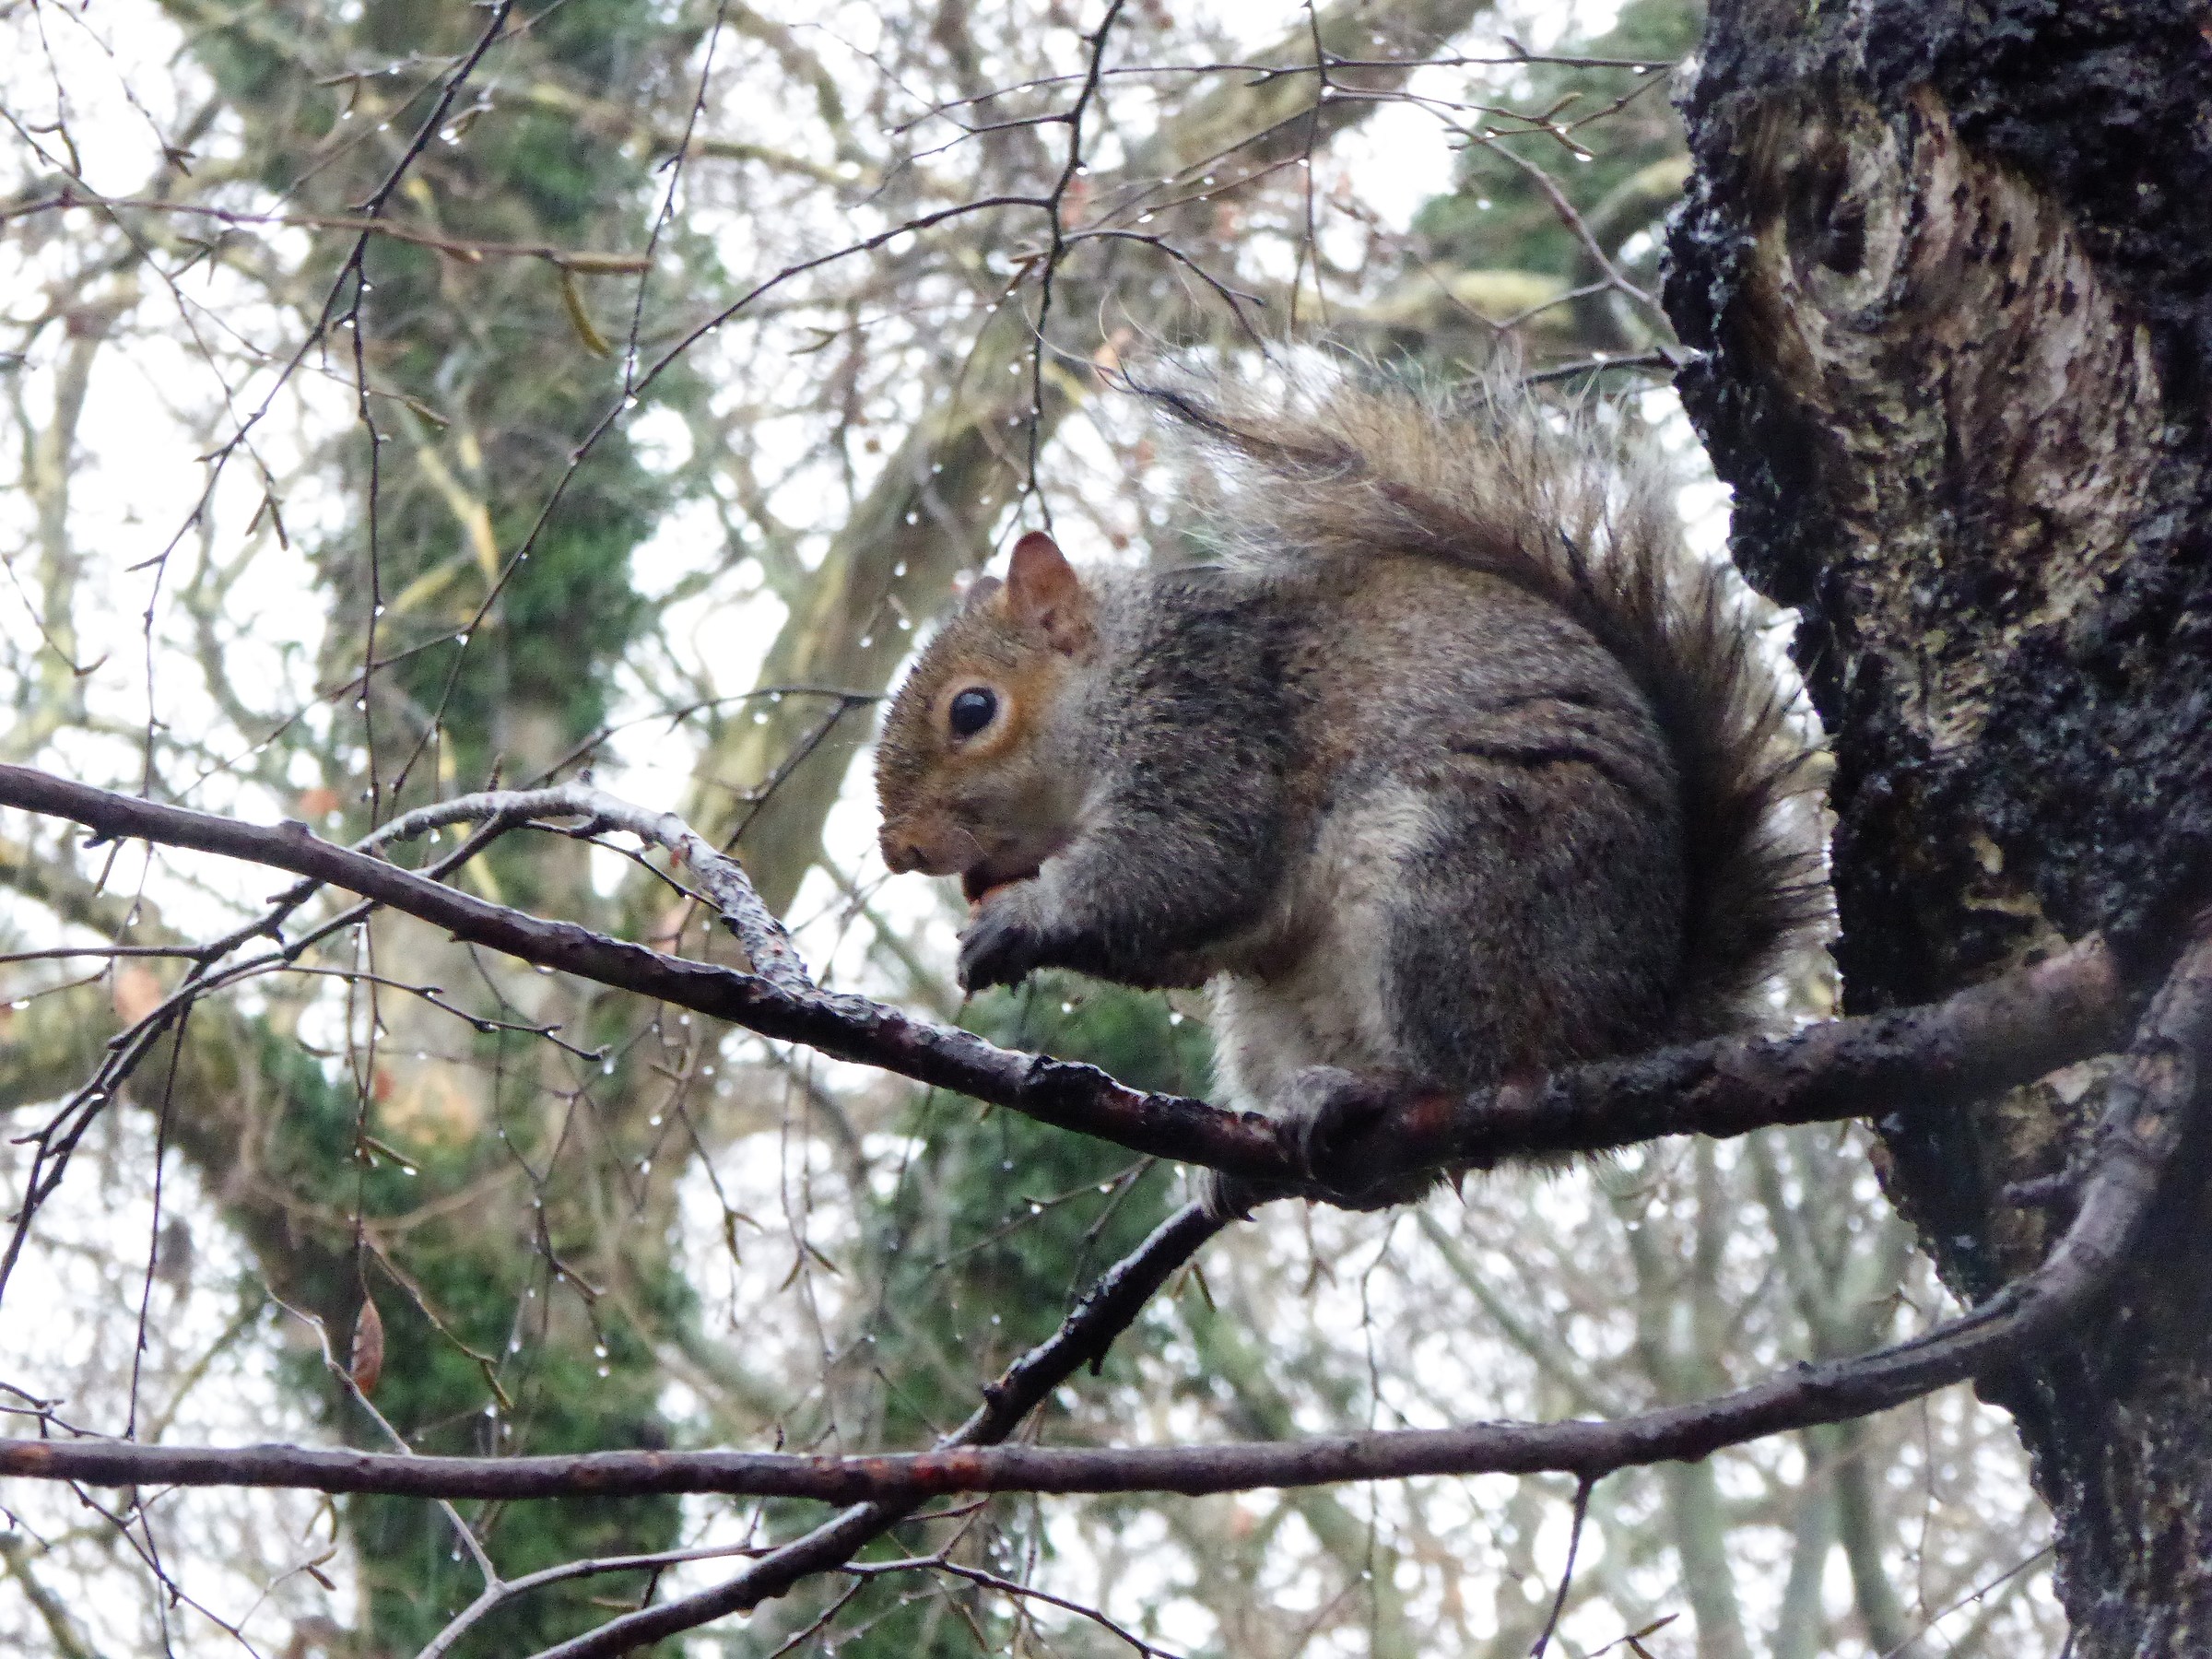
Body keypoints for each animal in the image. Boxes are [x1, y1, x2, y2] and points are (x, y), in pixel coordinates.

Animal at [874, 366, 1817, 1216]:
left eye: (972, 710)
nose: (899, 851)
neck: (1119, 679)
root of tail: (1630, 1021)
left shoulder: (1213, 732)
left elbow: (1186, 871)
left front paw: (1021, 918)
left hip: (1456, 887)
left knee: (1471, 1069)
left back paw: (1378, 1089)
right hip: (1272, 1012)